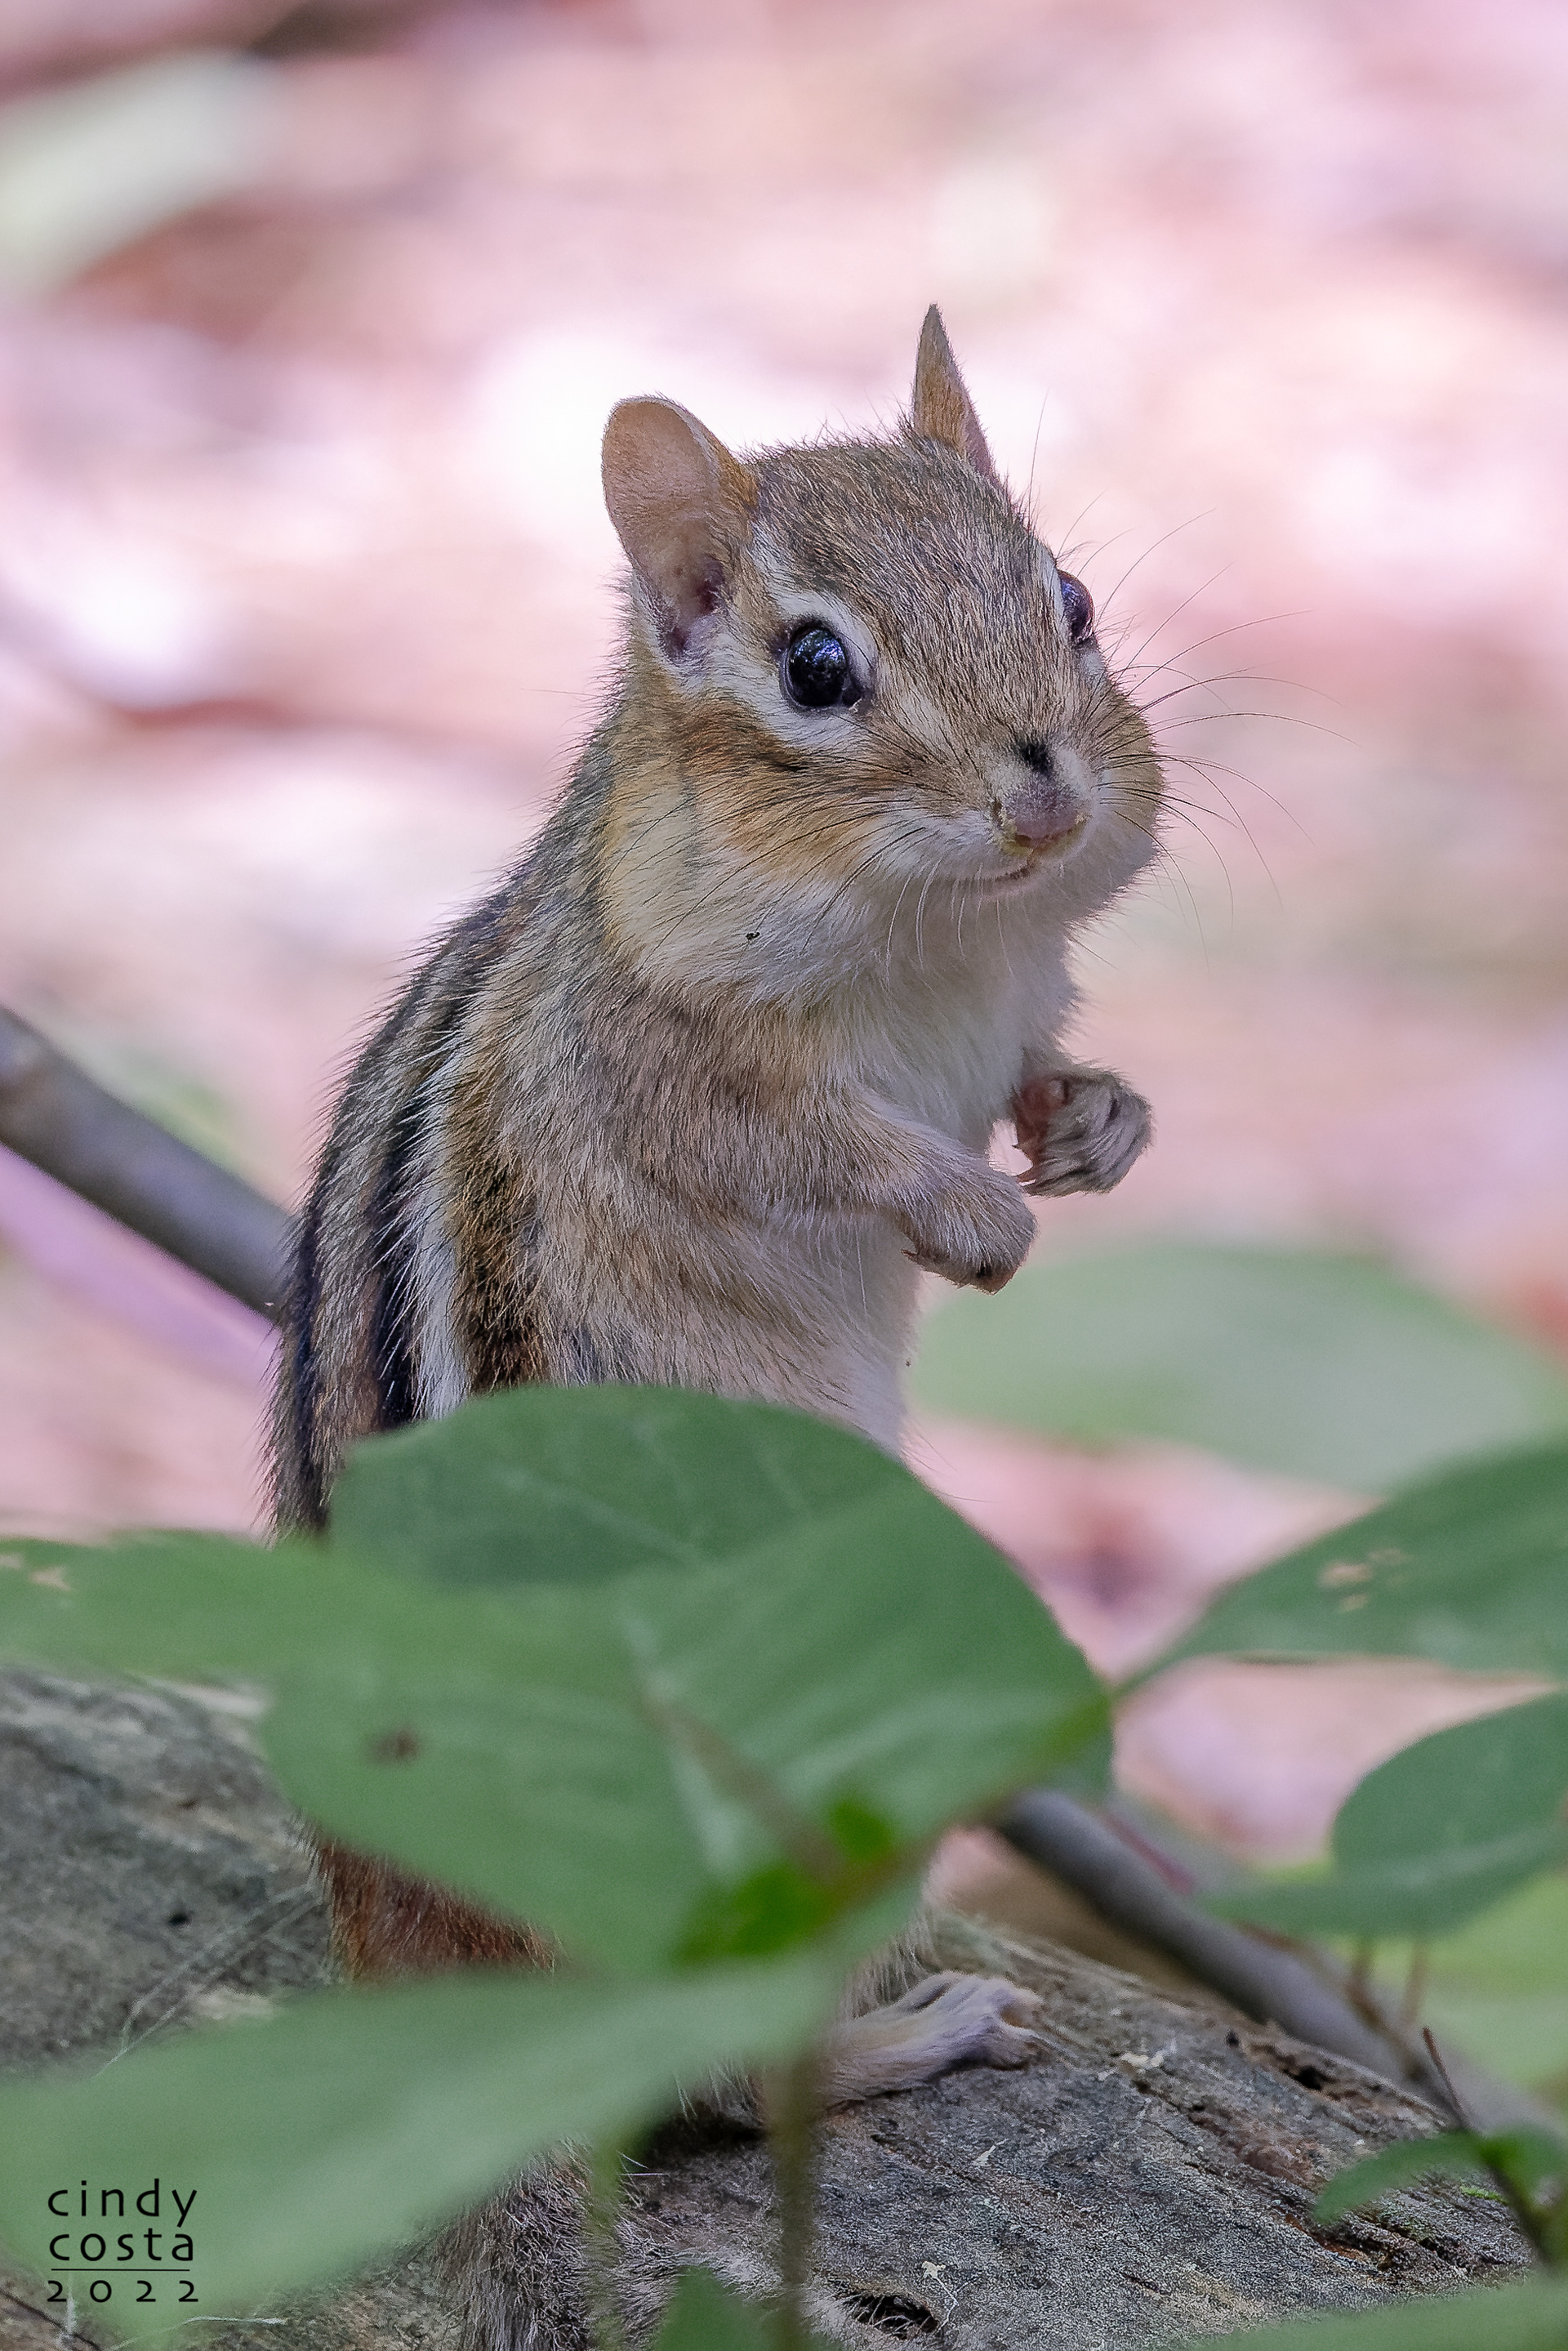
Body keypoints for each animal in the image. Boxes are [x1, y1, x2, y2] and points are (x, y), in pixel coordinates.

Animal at [272, 307, 1161, 2345]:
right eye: (816, 667)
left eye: (1070, 594)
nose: (1049, 791)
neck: (944, 930)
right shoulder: (676, 1056)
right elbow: (808, 1145)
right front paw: (969, 1211)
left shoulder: (1017, 998)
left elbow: (1044, 1071)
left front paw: (1096, 1129)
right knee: (715, 2083)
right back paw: (920, 2031)